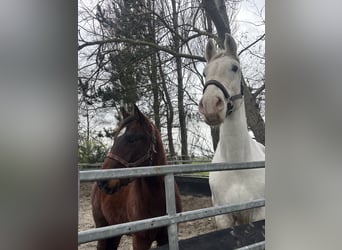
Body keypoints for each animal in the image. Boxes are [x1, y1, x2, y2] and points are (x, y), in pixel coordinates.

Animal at [91, 105, 182, 250]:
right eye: (115, 140)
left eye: (132, 139)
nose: (102, 181)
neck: (159, 197)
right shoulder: (140, 240)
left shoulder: (166, 238)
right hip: (103, 229)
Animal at [198, 33, 264, 229]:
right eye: (205, 73)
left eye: (234, 68)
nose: (210, 105)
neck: (237, 168)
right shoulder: (224, 217)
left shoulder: (259, 213)